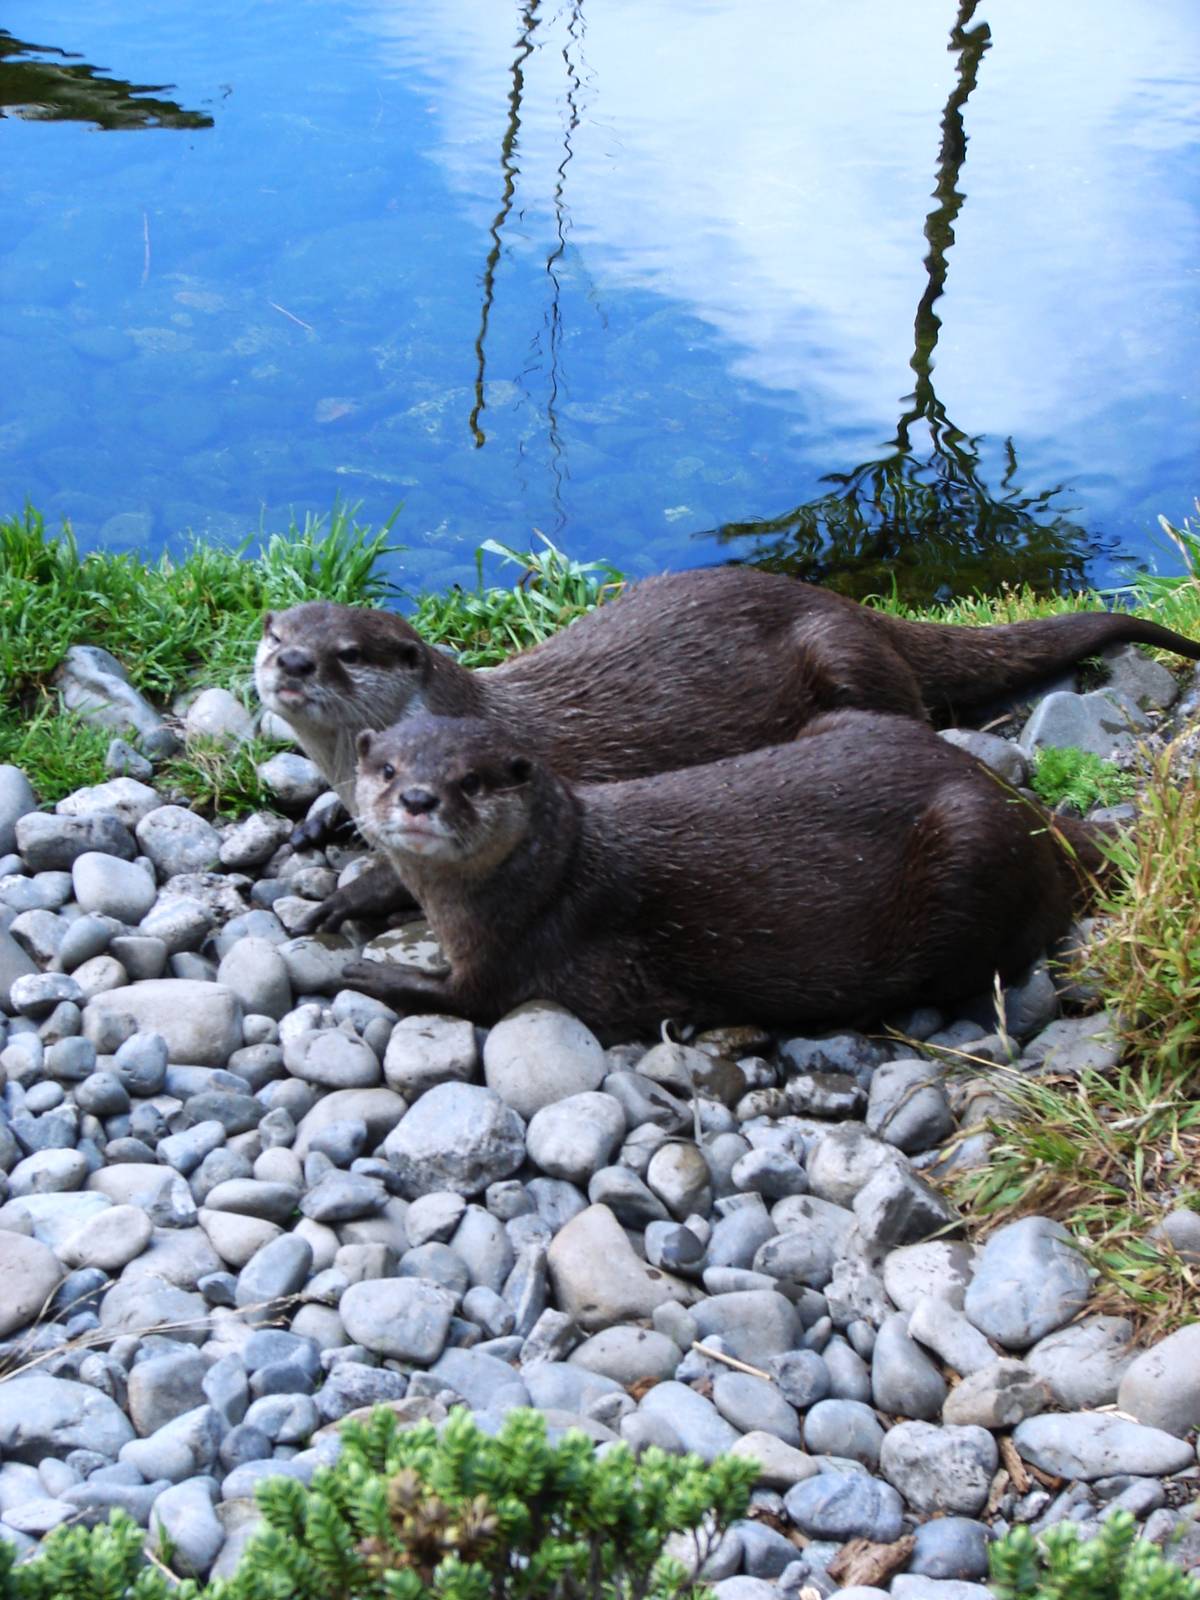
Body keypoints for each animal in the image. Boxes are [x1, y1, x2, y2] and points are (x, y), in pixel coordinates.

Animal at [255, 566, 1194, 926]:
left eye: (348, 652)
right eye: (276, 631)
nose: (292, 663)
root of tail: (852, 608)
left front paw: (353, 893)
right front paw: (320, 821)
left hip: (845, 661)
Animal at [339, 711, 1100, 1039]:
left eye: (470, 781)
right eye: (388, 768)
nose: (418, 799)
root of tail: (1023, 808)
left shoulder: (522, 951)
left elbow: (463, 1000)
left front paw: (365, 971)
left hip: (970, 851)